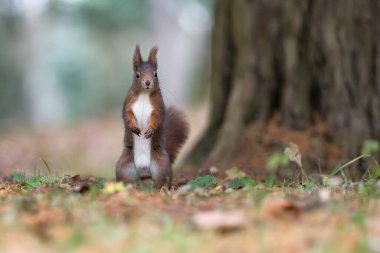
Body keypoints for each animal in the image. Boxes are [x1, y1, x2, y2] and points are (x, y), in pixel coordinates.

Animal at [114, 45, 189, 188]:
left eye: (155, 74)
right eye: (137, 75)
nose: (148, 82)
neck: (144, 94)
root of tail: (144, 172)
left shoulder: (158, 106)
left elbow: (157, 118)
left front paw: (150, 130)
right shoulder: (128, 104)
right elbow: (127, 115)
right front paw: (133, 126)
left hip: (161, 166)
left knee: (162, 180)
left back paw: (161, 189)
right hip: (125, 167)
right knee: (127, 179)